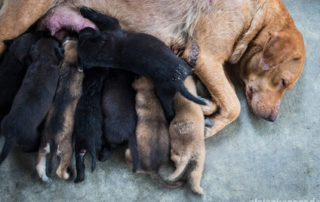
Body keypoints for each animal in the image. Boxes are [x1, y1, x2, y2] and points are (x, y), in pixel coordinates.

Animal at [36, 39, 84, 181]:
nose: (71, 37)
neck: (69, 64)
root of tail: (52, 141)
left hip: (42, 148)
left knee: (39, 166)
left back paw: (45, 178)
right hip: (67, 151)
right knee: (60, 172)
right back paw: (67, 174)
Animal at [77, 7, 205, 121]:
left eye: (85, 36)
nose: (82, 30)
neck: (103, 50)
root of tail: (178, 80)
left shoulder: (113, 26)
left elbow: (103, 17)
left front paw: (85, 10)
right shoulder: (113, 26)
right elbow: (104, 18)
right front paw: (85, 10)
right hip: (164, 91)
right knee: (169, 109)